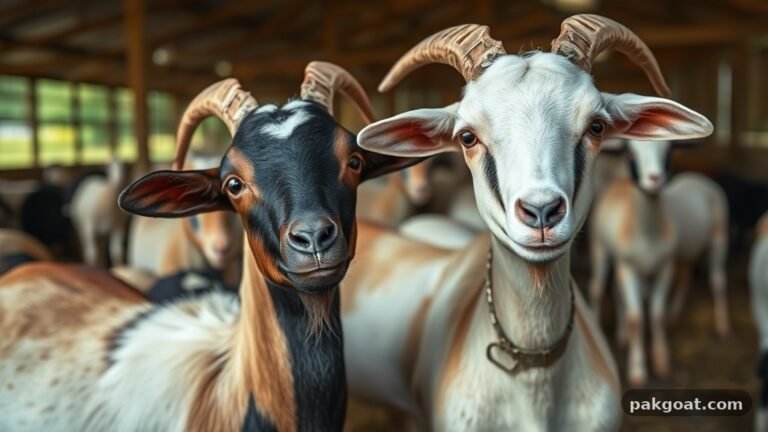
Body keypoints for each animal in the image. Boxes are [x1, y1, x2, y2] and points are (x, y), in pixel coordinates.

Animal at [589, 139, 729, 385]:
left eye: (669, 150)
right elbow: (636, 318)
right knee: (599, 287)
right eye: (631, 153)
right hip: (601, 248)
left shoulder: (665, 267)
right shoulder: (629, 268)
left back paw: (720, 325)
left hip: (718, 236)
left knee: (716, 280)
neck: (648, 232)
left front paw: (661, 361)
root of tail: (699, 177)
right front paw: (638, 370)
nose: (655, 178)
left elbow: (656, 314)